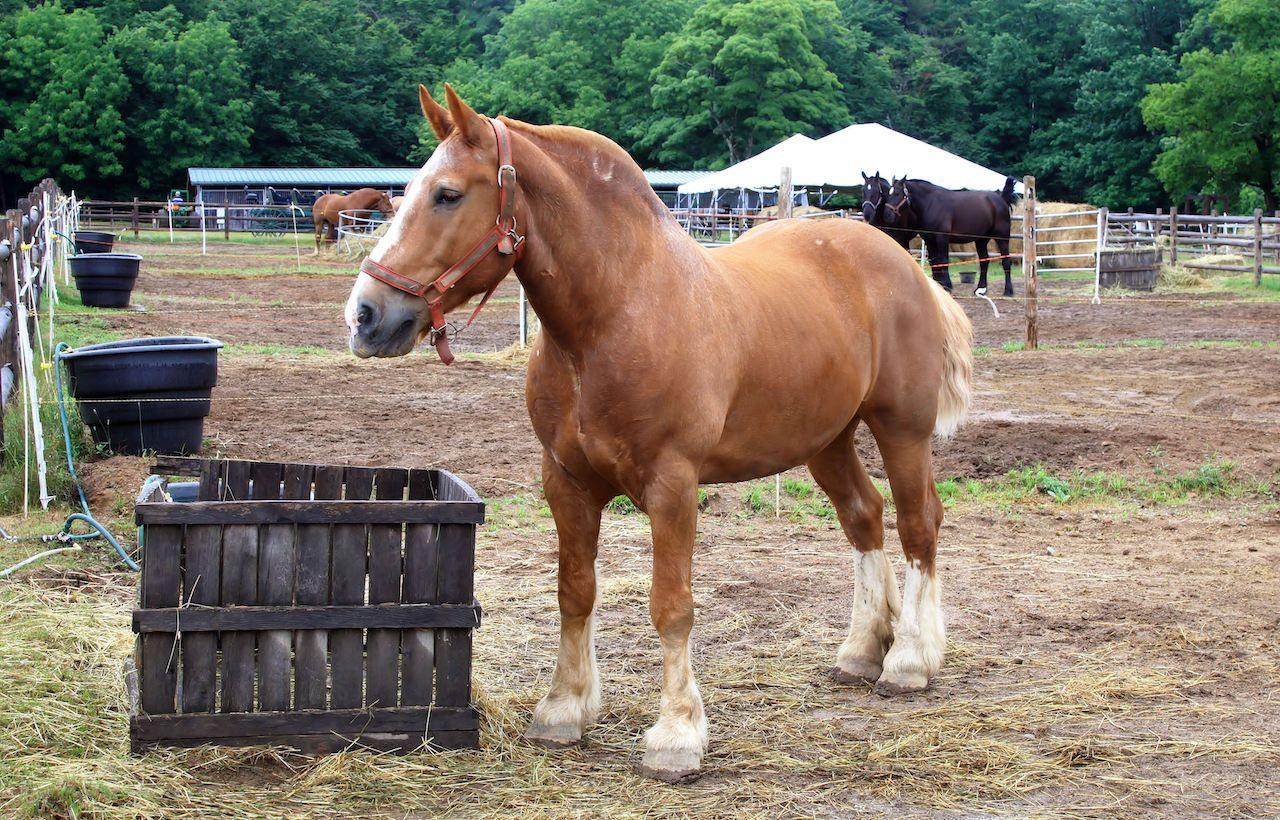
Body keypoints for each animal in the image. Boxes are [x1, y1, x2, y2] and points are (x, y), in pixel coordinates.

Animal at [344, 84, 974, 783]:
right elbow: (574, 592)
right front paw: (564, 708)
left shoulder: (672, 485)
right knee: (865, 516)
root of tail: (902, 264)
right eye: (406, 191)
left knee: (919, 523)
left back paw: (910, 659)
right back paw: (863, 649)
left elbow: (671, 605)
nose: (365, 315)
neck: (614, 315)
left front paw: (675, 735)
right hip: (826, 441)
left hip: (901, 430)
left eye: (449, 194)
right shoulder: (566, 482)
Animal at [883, 176, 1018, 296]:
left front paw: (947, 286)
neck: (931, 204)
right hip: (981, 240)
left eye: (897, 193)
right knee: (984, 261)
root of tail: (1001, 198)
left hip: (1002, 238)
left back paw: (1008, 291)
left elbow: (943, 261)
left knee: (1006, 261)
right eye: (888, 193)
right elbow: (934, 262)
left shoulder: (942, 238)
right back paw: (980, 289)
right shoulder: (929, 240)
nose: (887, 215)